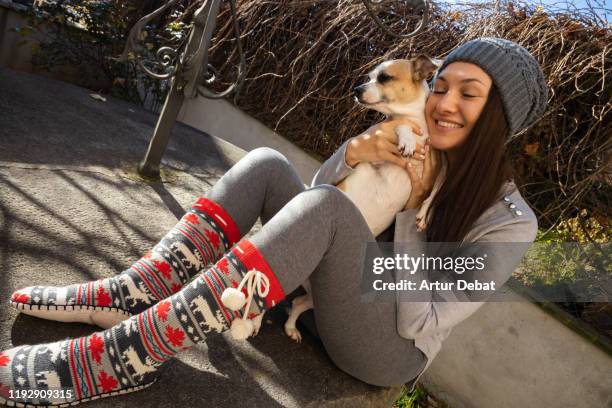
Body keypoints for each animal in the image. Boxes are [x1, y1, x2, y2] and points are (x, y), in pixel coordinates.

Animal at [280, 55, 444, 342]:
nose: (356, 89)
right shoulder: (379, 150)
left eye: (385, 77)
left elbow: (435, 189)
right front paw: (407, 139)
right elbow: (399, 126)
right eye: (369, 76)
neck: (419, 123)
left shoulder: (434, 169)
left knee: (299, 303)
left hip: (318, 297)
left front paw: (424, 214)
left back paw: (291, 327)